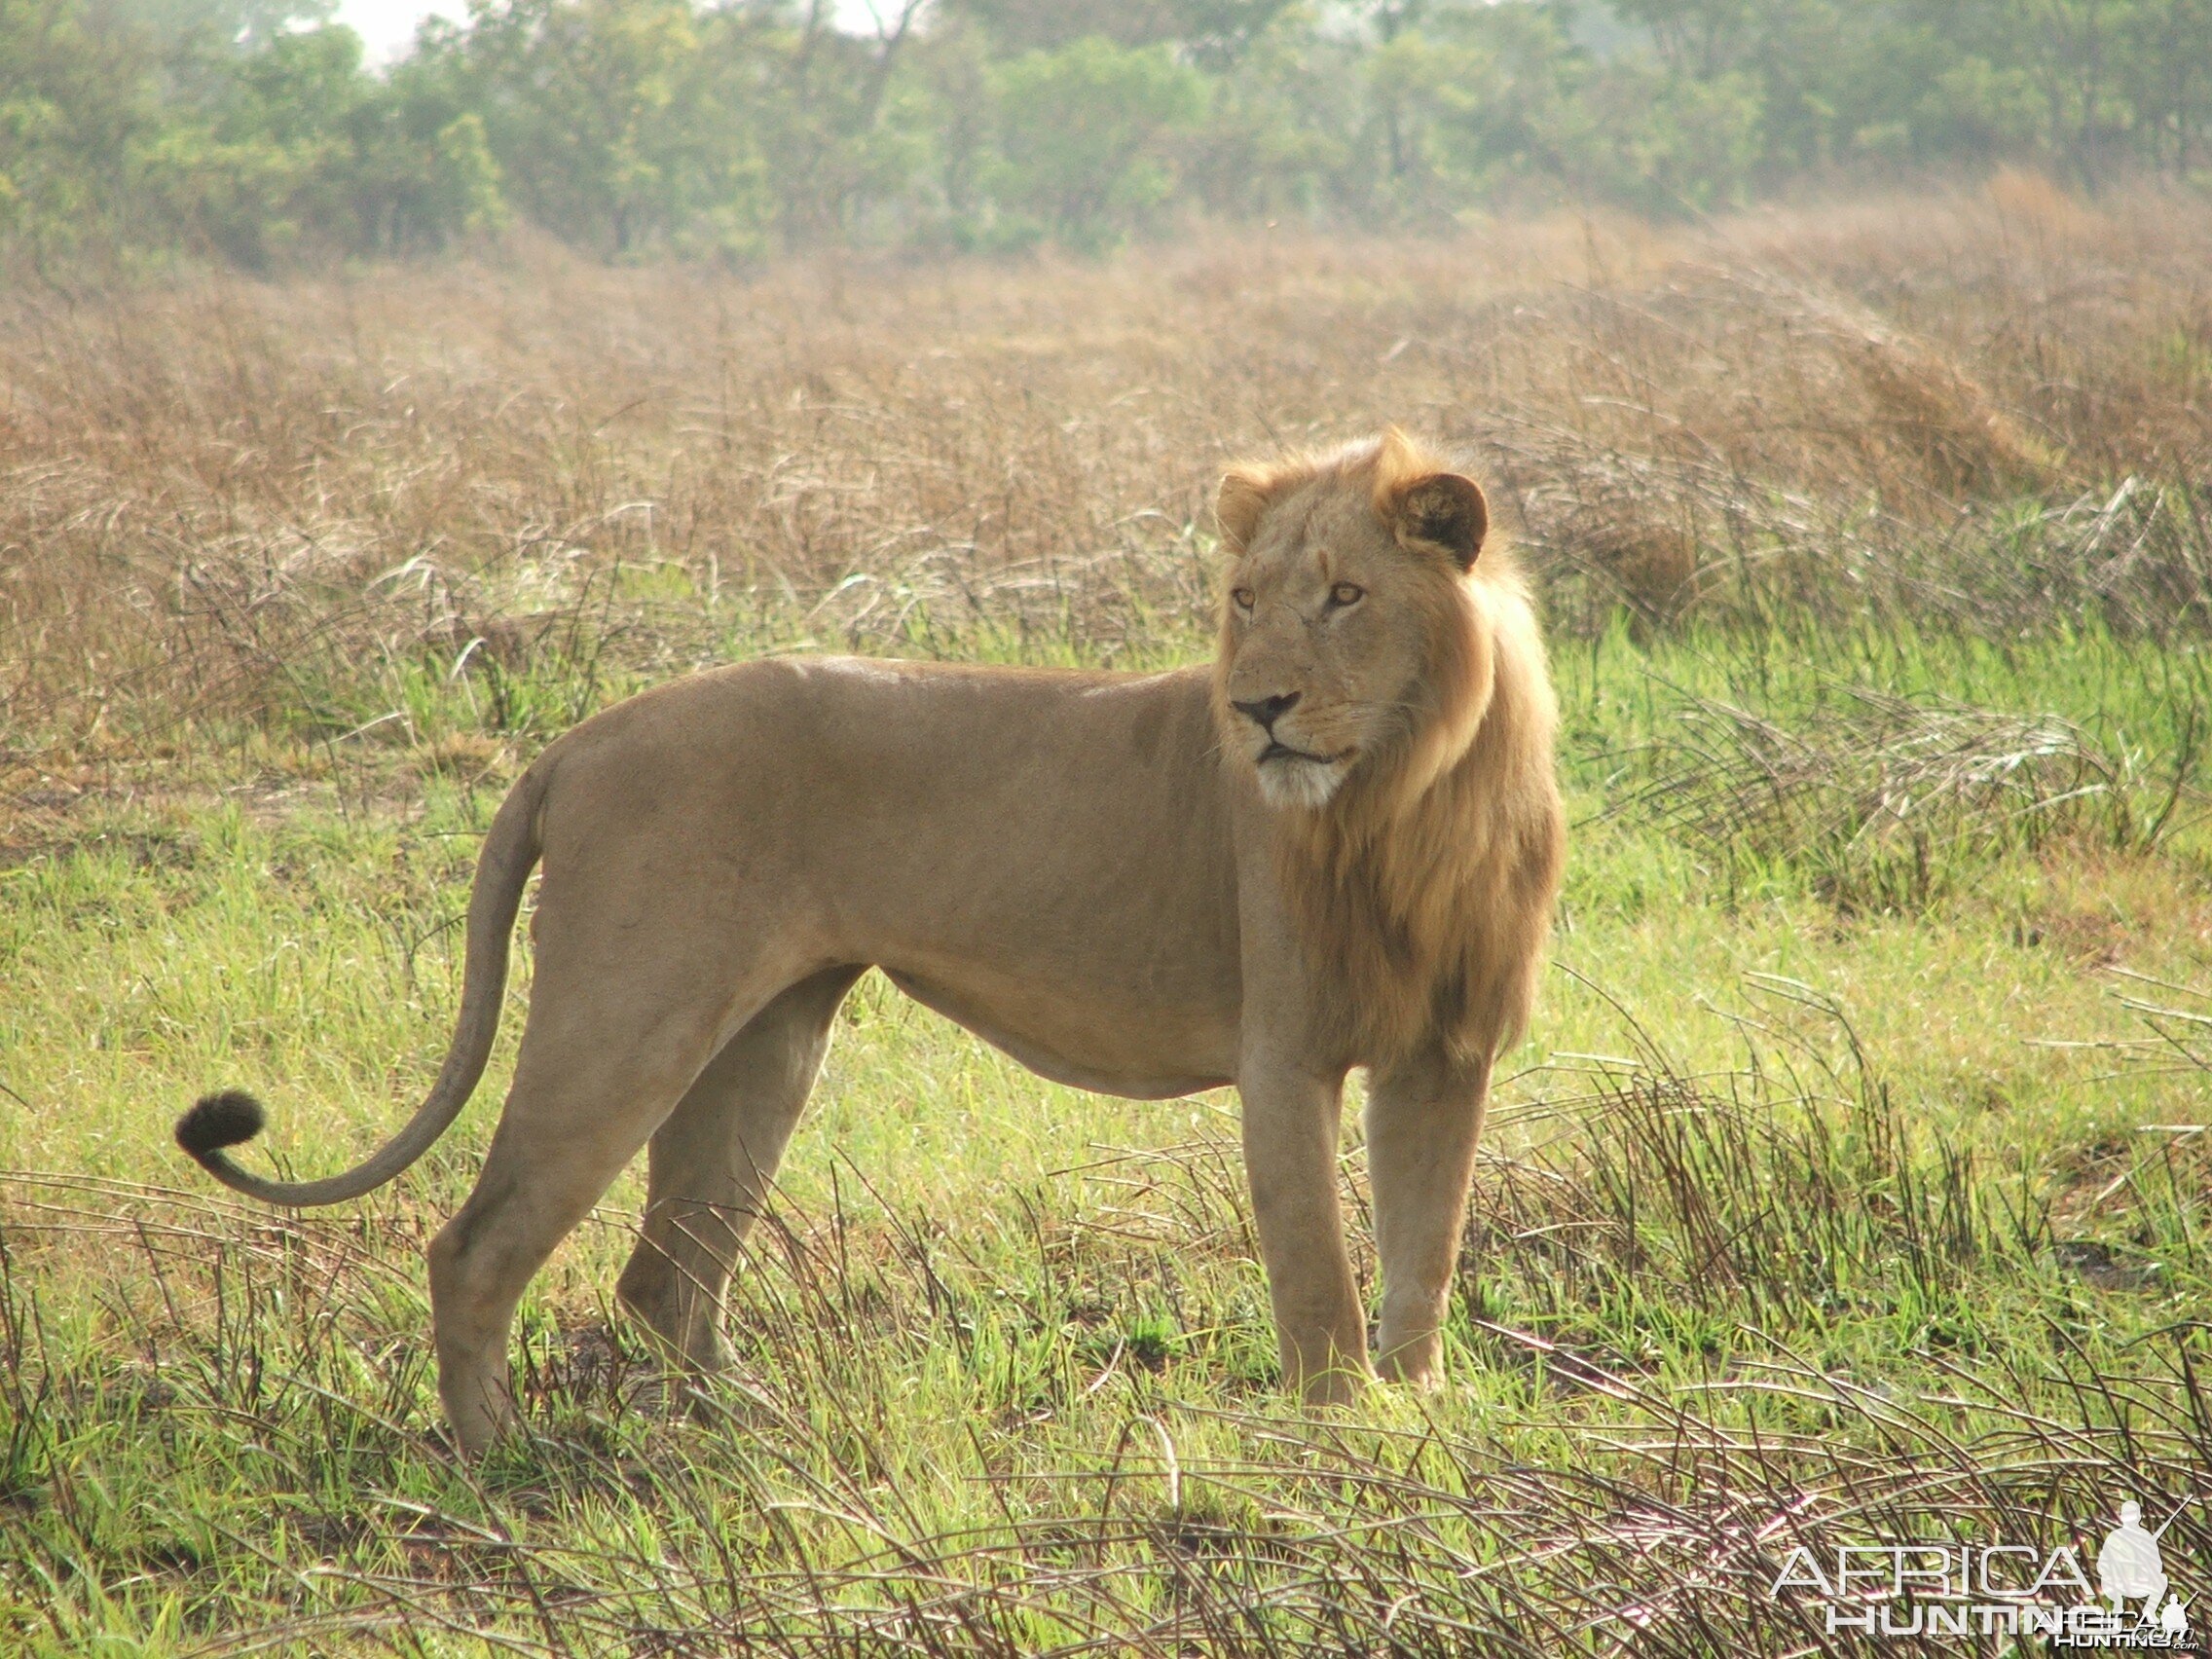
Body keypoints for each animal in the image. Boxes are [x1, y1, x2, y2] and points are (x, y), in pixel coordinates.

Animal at [172, 424, 1566, 1451]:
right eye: (1244, 600)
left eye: (1344, 597)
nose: (1256, 708)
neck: (1408, 798)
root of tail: (580, 738)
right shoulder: (1283, 1055)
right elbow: (1319, 1278)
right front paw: (1343, 1438)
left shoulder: (1445, 1058)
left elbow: (1424, 1257)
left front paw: (1420, 1412)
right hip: (623, 1019)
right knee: (474, 1247)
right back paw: (495, 1464)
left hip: (764, 1042)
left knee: (665, 1275)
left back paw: (747, 1431)